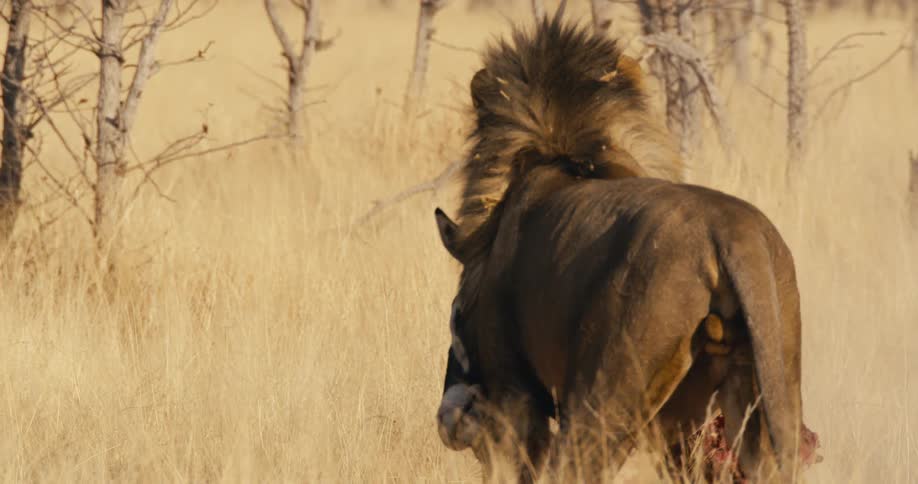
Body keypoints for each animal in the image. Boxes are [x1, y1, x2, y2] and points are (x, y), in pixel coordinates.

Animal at [432, 11, 817, 484]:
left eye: (457, 315)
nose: (448, 418)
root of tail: (730, 231)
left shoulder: (512, 397)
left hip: (605, 394)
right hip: (765, 391)